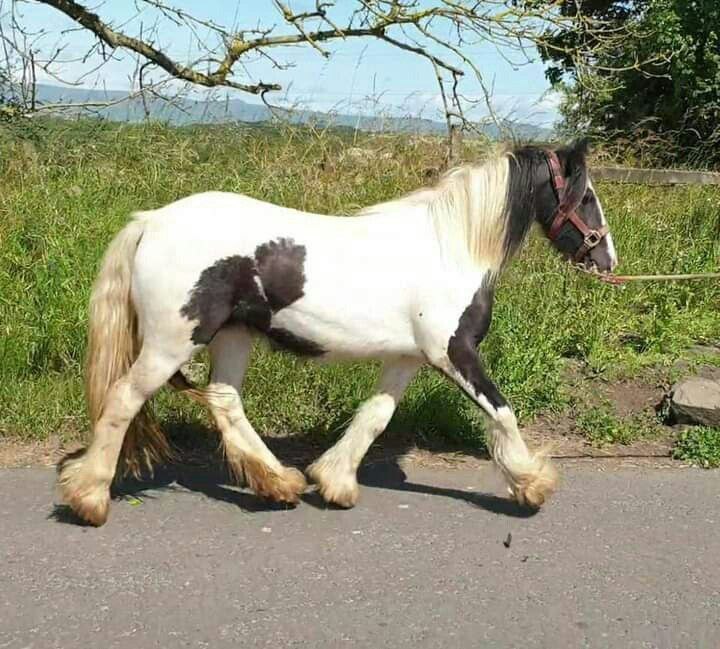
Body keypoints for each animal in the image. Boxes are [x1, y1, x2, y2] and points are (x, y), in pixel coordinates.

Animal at [57, 139, 617, 526]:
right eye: (587, 195)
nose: (607, 259)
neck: (450, 248)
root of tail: (150, 221)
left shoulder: (408, 358)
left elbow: (374, 417)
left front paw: (335, 482)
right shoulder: (453, 352)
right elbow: (501, 412)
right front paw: (532, 484)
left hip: (233, 336)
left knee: (225, 401)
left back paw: (280, 483)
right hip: (172, 342)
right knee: (123, 400)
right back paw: (89, 499)